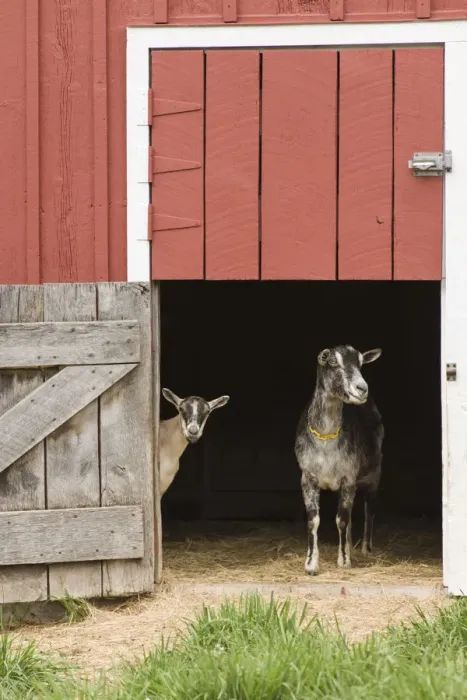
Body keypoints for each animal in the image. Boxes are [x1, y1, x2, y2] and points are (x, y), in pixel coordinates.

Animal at [294, 345, 383, 575]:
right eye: (333, 361)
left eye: (361, 363)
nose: (362, 389)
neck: (326, 441)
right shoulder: (308, 477)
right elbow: (313, 520)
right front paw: (311, 564)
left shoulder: (348, 478)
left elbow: (341, 520)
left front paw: (343, 560)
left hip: (375, 474)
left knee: (369, 509)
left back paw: (365, 549)